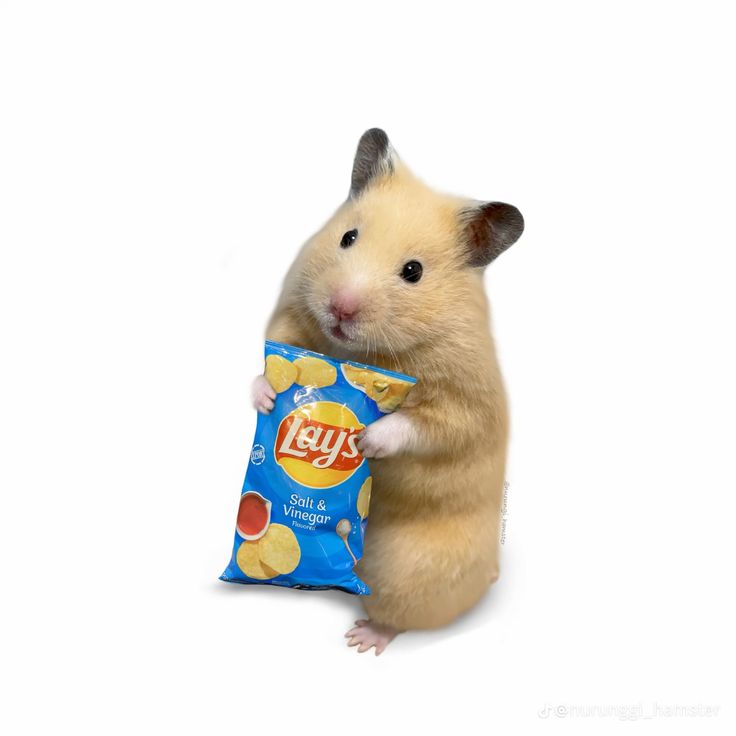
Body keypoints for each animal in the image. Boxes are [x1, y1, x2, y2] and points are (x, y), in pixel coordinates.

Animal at [252, 129, 523, 654]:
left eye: (413, 271)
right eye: (348, 237)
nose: (341, 307)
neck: (360, 353)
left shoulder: (465, 406)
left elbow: (419, 426)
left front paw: (367, 440)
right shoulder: (291, 316)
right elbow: (268, 365)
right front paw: (267, 397)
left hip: (410, 570)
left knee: (397, 614)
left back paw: (362, 639)